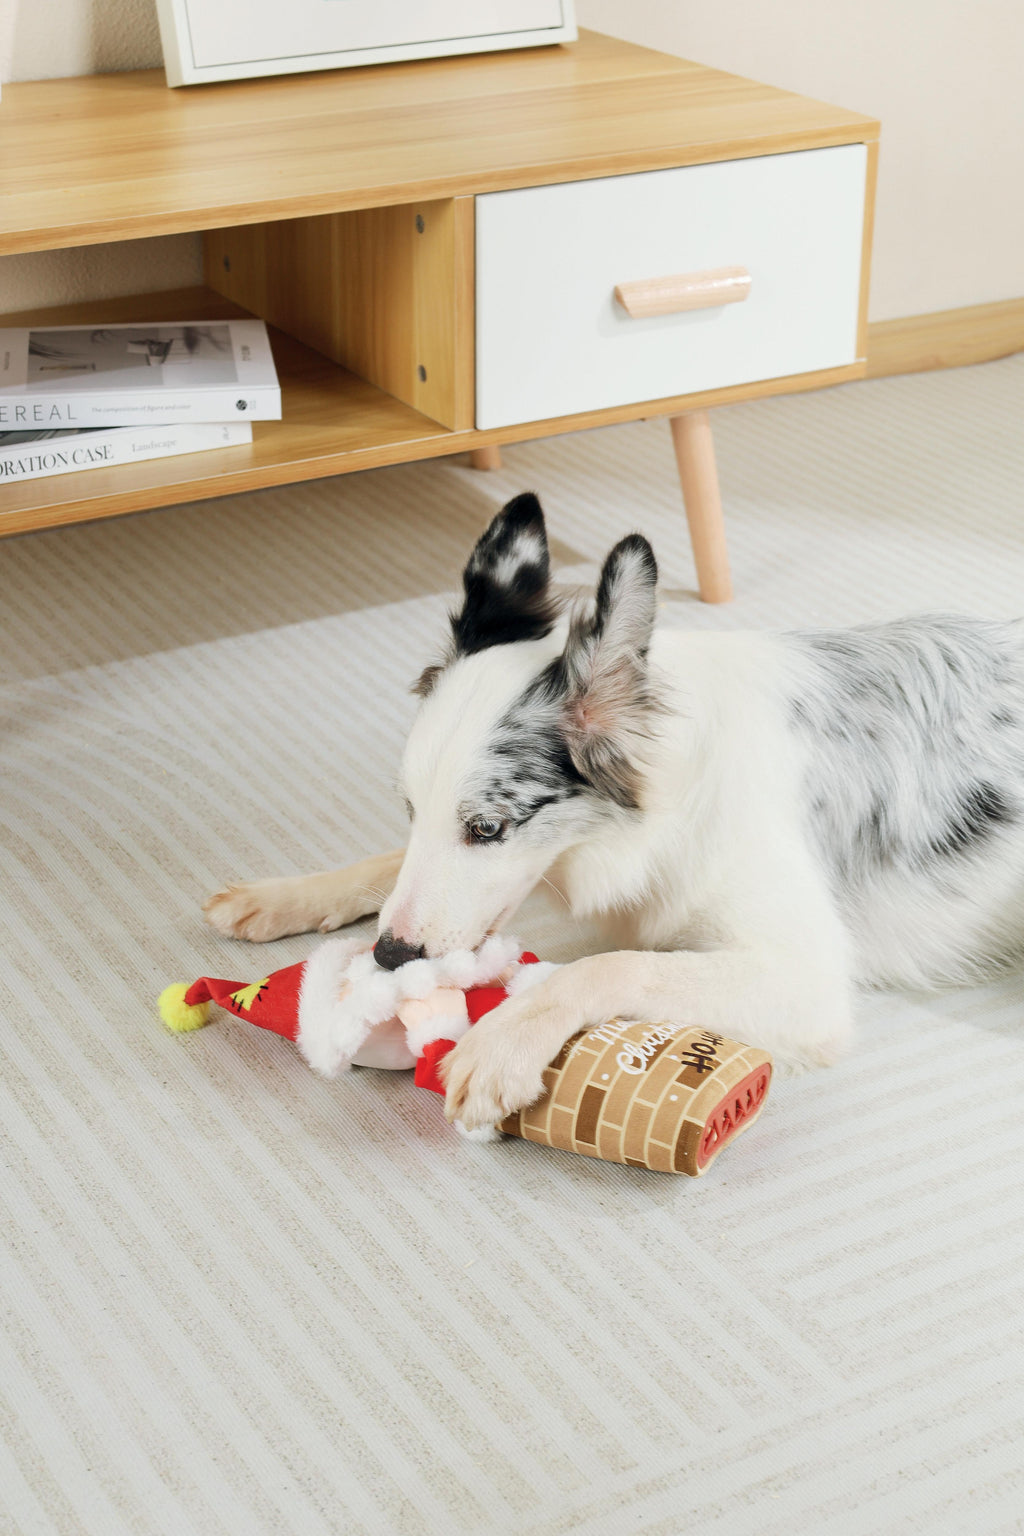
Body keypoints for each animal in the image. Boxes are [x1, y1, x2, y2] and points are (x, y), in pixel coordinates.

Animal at [204, 491, 1024, 1130]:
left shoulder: (804, 978)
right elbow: (387, 864)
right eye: (411, 809)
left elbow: (612, 965)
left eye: (487, 828)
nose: (389, 957)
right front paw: (285, 895)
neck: (677, 777)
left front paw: (504, 1041)